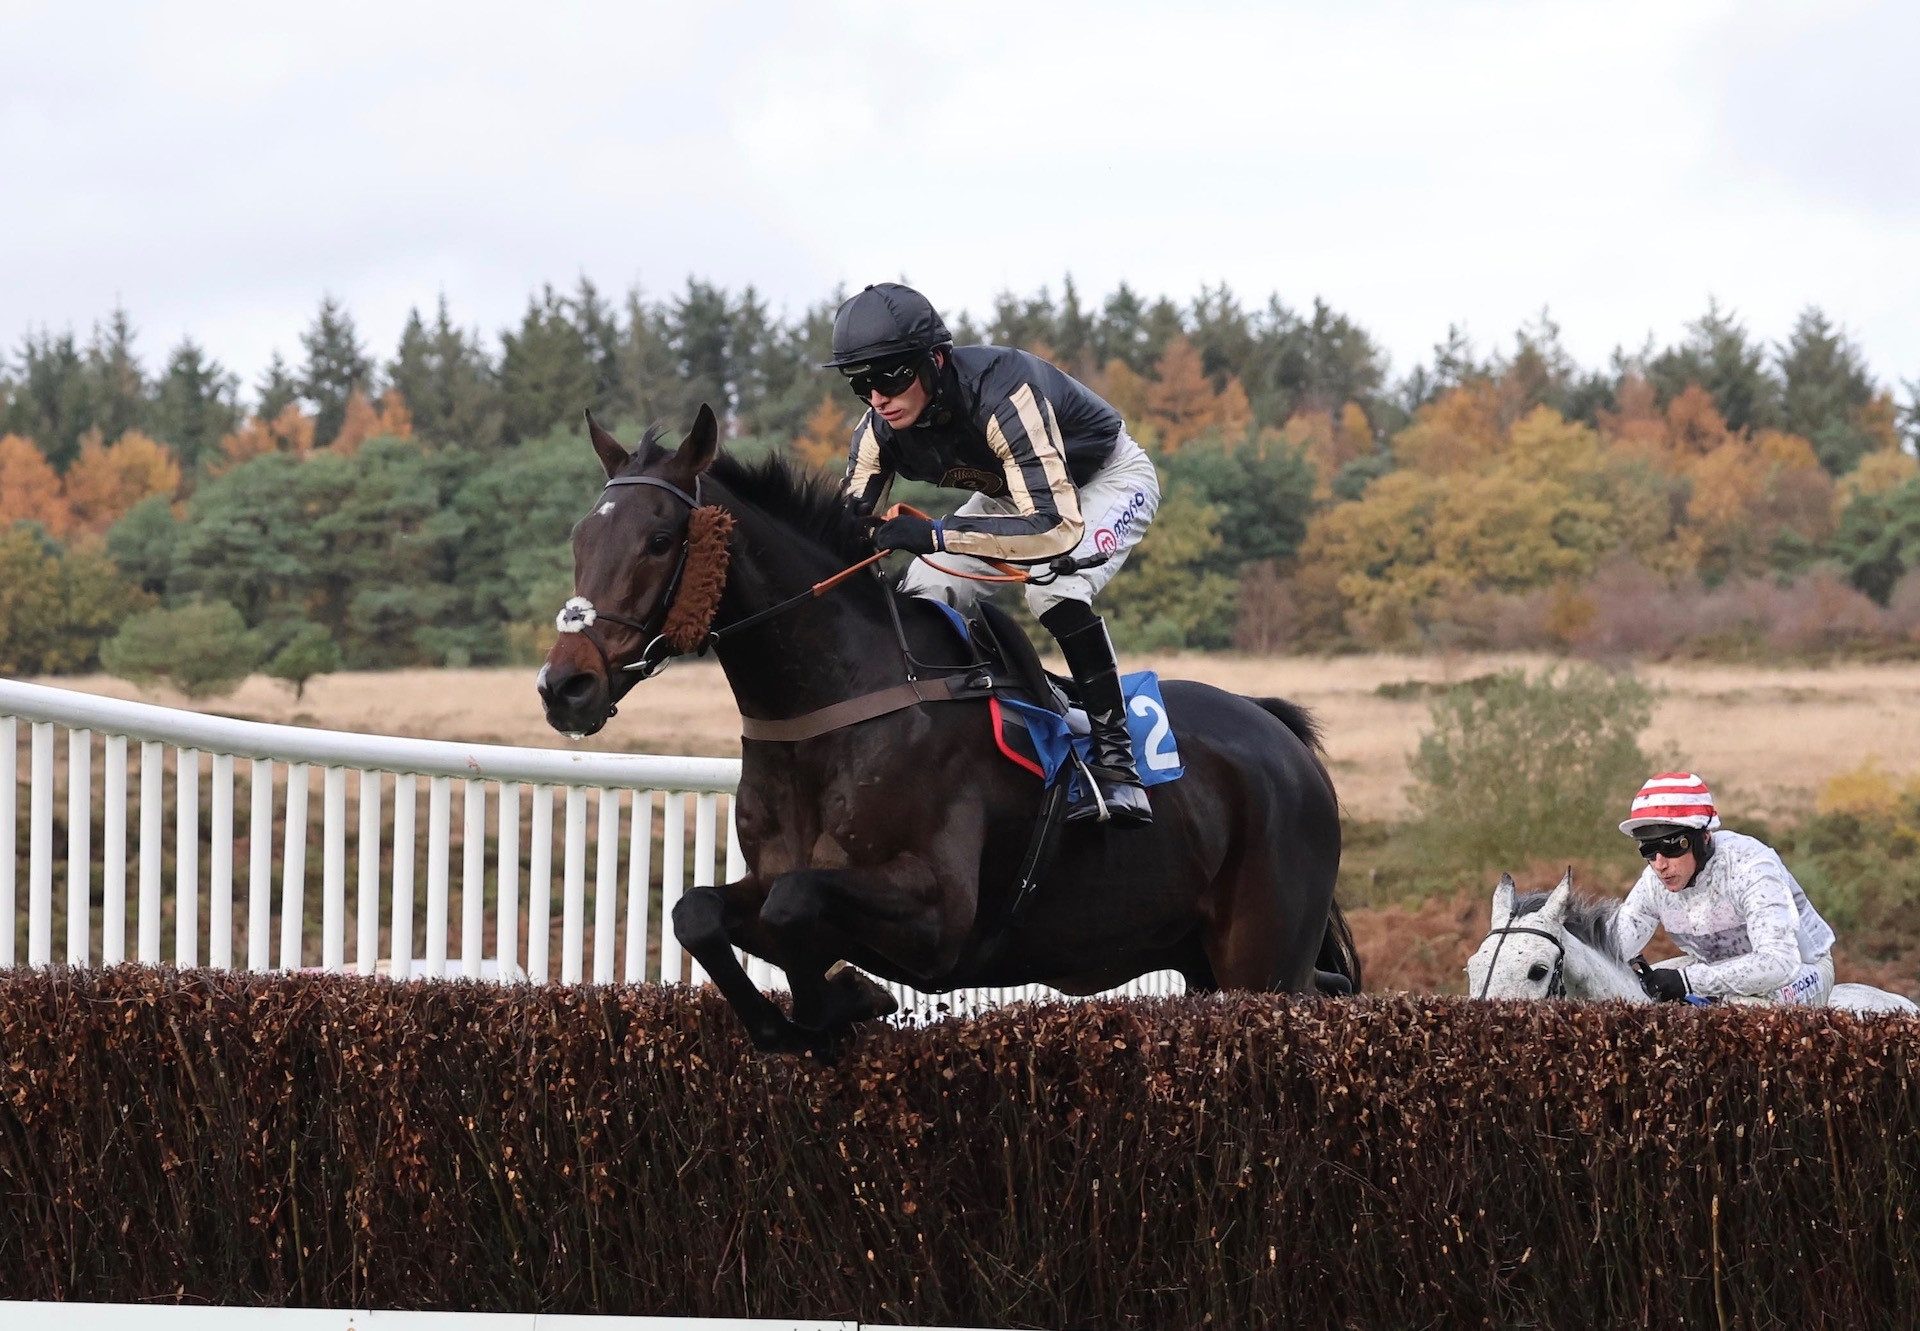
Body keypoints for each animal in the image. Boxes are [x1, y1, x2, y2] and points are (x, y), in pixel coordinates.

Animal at [533, 405, 1359, 1052]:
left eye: (659, 539)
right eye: (578, 538)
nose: (564, 685)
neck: (839, 704)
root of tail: (1281, 731)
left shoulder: (939, 918)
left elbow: (795, 902)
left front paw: (841, 1001)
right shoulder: (769, 882)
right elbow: (701, 912)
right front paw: (800, 1018)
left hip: (1263, 961)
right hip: (1197, 961)